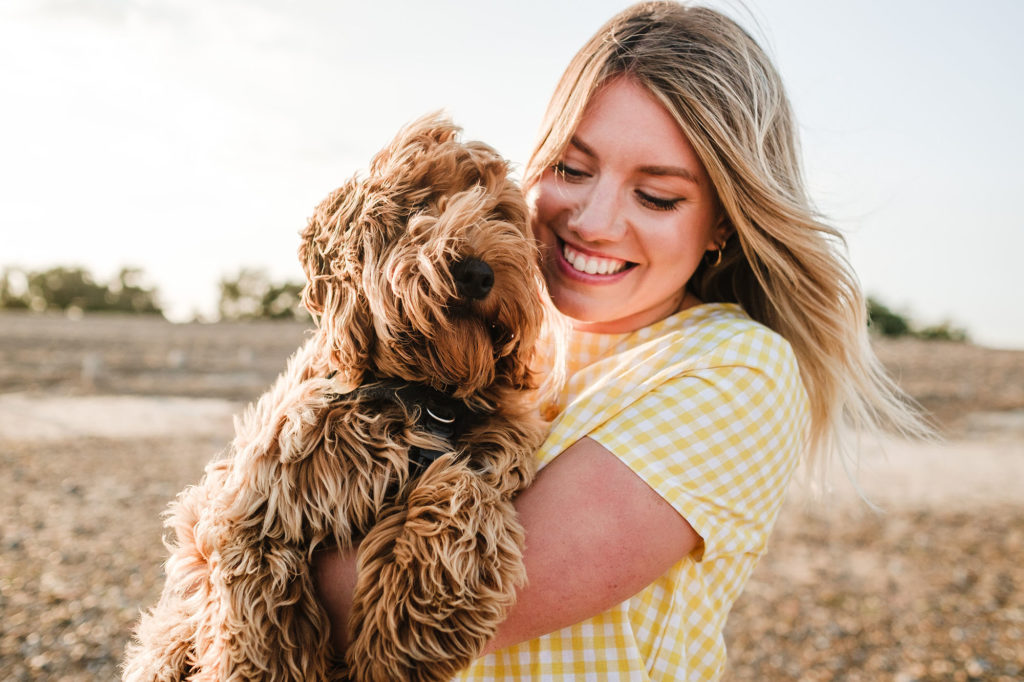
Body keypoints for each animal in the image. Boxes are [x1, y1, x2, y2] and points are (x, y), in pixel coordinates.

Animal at [125, 114, 569, 675]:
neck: (425, 393)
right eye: (421, 203)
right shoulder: (245, 506)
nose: (477, 273)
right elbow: (256, 614)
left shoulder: (493, 453)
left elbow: (463, 487)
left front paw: (406, 632)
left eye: (499, 215)